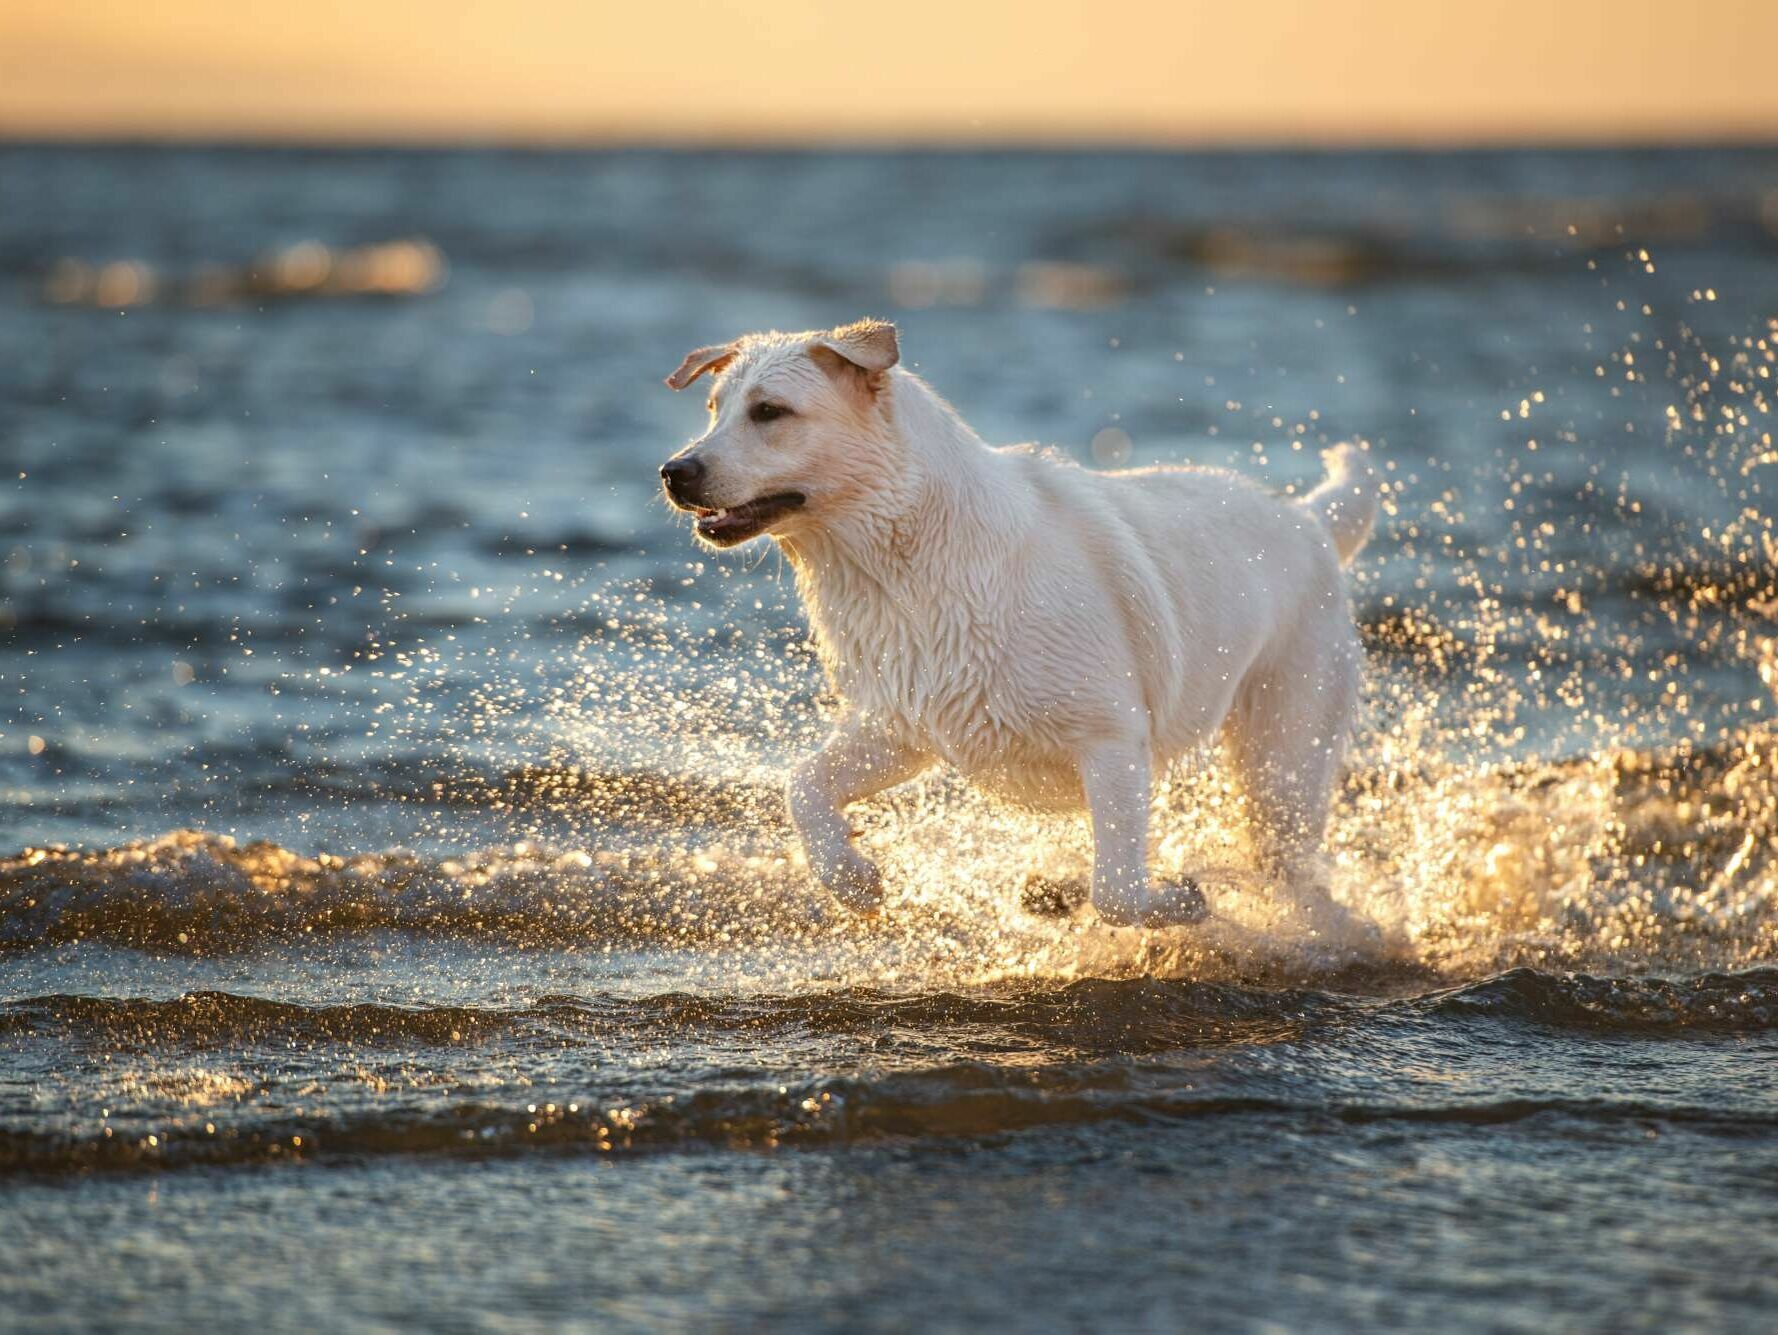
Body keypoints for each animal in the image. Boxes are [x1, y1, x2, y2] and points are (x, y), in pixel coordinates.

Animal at [661, 319, 1379, 931]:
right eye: (713, 408)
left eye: (770, 412)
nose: (674, 471)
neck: (904, 563)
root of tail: (1310, 520)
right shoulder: (902, 724)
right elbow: (802, 784)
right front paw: (851, 878)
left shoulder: (1113, 741)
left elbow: (1119, 891)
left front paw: (1179, 898)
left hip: (1284, 760)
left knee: (1286, 865)